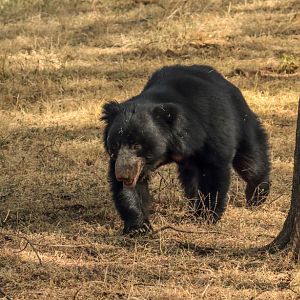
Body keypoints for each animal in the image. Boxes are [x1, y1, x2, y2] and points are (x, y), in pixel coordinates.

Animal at [102, 64, 270, 236]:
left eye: (137, 145)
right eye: (115, 145)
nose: (124, 176)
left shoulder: (209, 130)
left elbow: (213, 169)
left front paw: (206, 216)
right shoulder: (131, 163)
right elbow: (133, 188)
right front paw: (138, 227)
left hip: (242, 120)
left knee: (251, 162)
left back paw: (257, 196)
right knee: (191, 181)